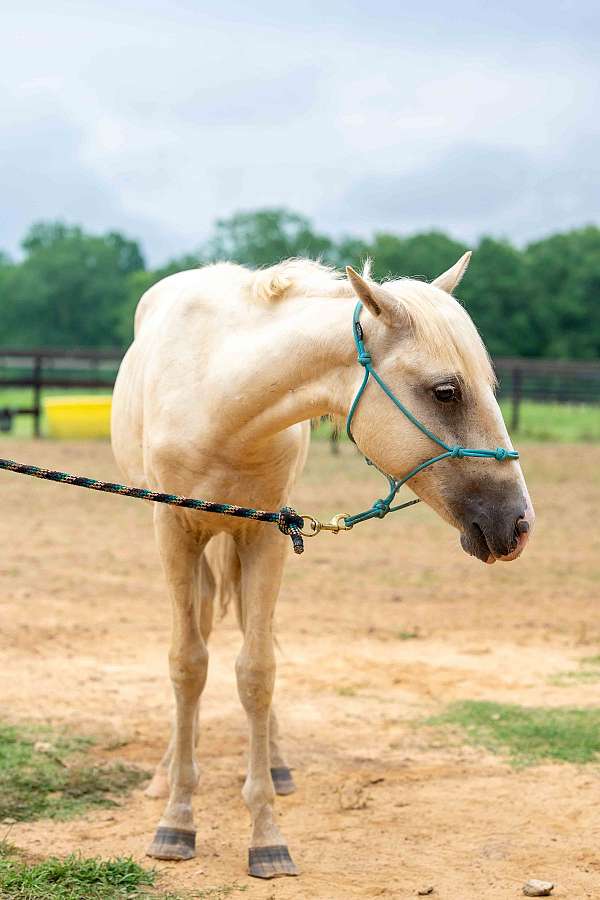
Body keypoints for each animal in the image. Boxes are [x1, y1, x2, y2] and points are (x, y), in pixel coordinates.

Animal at [111, 253, 534, 879]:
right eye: (446, 391)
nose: (518, 525)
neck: (219, 397)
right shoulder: (173, 531)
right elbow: (187, 665)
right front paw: (177, 821)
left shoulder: (267, 535)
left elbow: (256, 672)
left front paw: (265, 833)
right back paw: (167, 770)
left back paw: (276, 763)